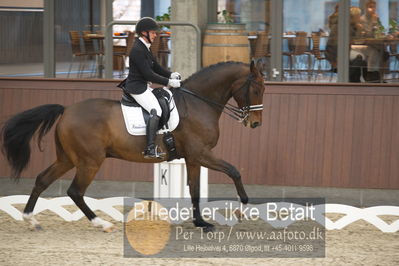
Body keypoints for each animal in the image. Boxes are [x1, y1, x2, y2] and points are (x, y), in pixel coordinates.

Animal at [3, 60, 268, 231]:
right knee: (75, 191)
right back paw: (102, 224)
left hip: (67, 158)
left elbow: (194, 190)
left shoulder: (193, 158)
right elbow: (234, 171)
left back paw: (31, 219)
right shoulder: (202, 154)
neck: (198, 103)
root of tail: (66, 110)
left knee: (42, 180)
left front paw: (201, 223)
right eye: (256, 89)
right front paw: (241, 208)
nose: (255, 123)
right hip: (90, 161)